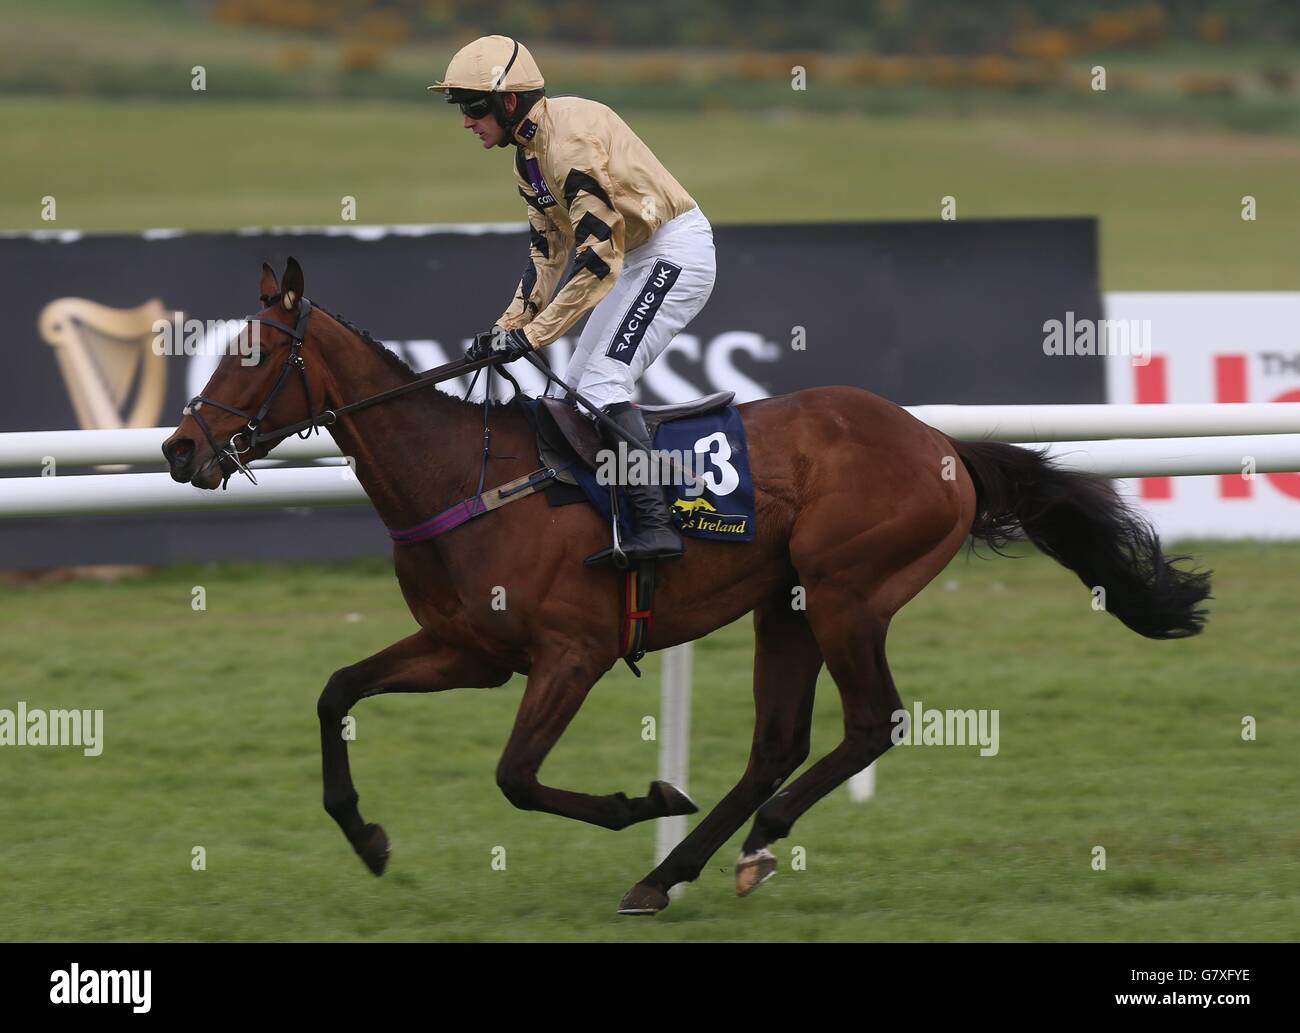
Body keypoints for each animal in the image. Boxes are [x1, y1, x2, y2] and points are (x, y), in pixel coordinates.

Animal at [165, 258, 1216, 914]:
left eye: (253, 354)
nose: (180, 448)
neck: (465, 475)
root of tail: (942, 444)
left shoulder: (573, 652)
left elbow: (516, 777)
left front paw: (643, 800)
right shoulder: (467, 649)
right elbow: (335, 689)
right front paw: (366, 835)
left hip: (847, 591)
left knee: (869, 722)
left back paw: (747, 840)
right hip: (788, 603)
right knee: (778, 742)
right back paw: (677, 870)